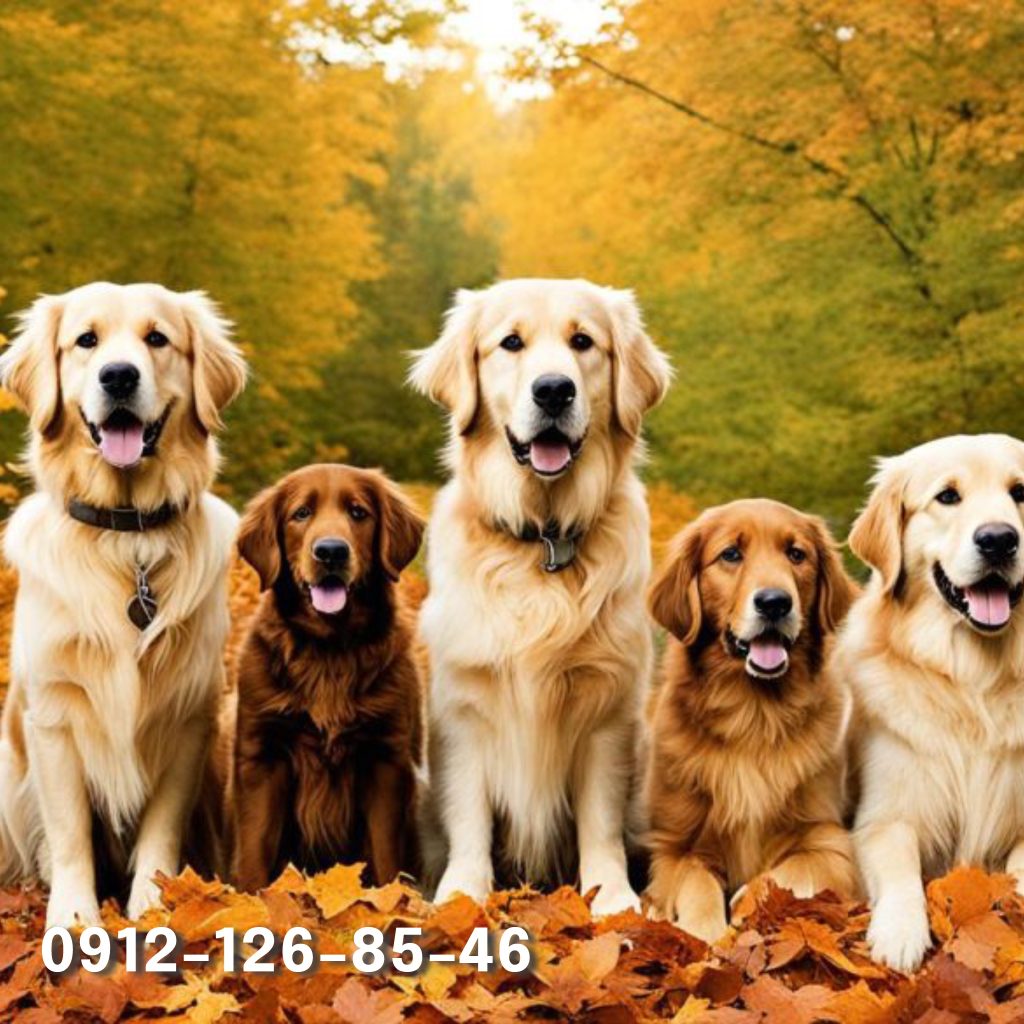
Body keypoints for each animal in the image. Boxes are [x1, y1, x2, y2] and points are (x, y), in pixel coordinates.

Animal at [0, 280, 245, 929]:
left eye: (157, 338)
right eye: (86, 340)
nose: (117, 375)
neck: (126, 535)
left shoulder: (188, 718)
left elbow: (161, 825)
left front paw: (157, 905)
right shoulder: (53, 715)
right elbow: (69, 832)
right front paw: (73, 916)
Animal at [232, 464, 423, 888]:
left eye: (358, 512)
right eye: (301, 513)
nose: (331, 551)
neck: (330, 648)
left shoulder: (384, 758)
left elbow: (385, 853)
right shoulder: (263, 757)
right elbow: (254, 848)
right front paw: (248, 899)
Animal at [407, 274, 671, 913]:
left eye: (583, 342)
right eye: (510, 343)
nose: (554, 390)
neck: (544, 541)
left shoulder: (607, 712)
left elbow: (599, 820)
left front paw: (611, 898)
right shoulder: (464, 708)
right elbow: (469, 817)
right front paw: (462, 894)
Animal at [835, 432, 1024, 966]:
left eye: (1020, 492)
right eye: (947, 496)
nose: (999, 539)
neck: (975, 681)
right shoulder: (885, 816)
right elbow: (900, 869)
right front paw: (899, 932)